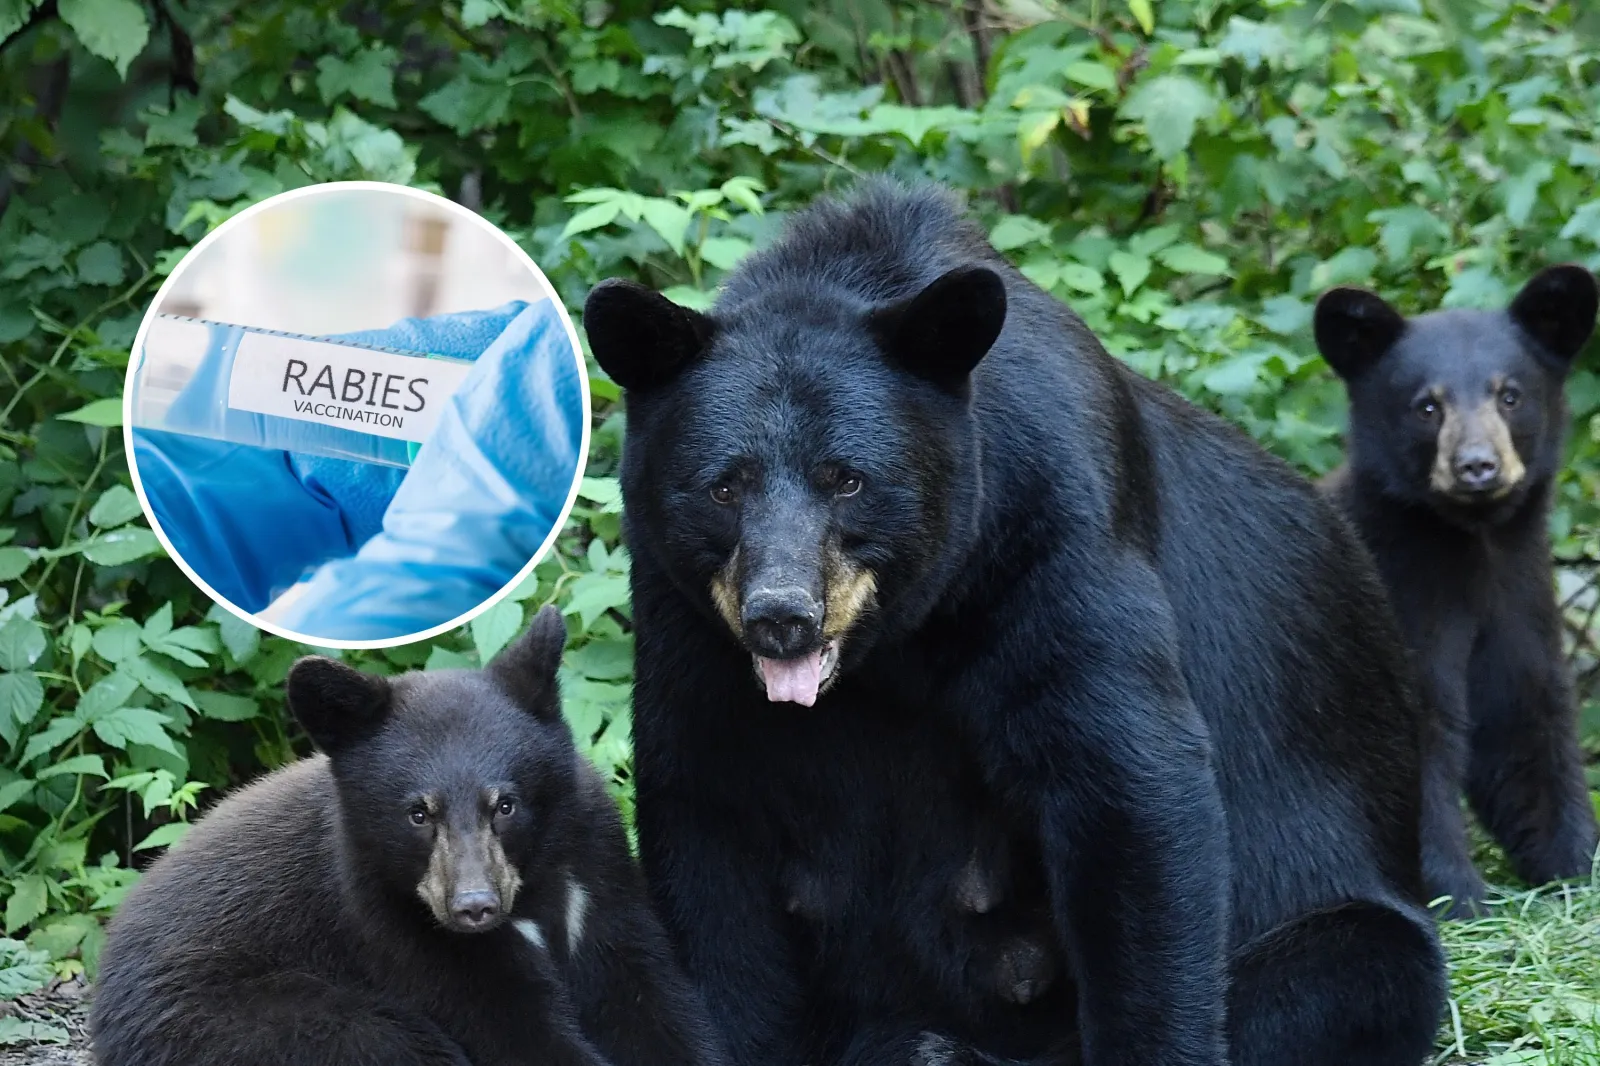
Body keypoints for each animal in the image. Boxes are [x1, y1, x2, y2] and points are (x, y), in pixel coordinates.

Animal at [89, 605, 726, 1066]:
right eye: (418, 814)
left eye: (506, 804)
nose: (473, 906)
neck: (530, 893)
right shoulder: (391, 923)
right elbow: (513, 1031)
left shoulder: (597, 876)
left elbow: (649, 1001)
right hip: (246, 1020)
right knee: (381, 1042)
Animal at [581, 178, 1448, 1066]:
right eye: (724, 486)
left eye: (847, 479)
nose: (782, 617)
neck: (892, 643)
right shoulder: (681, 607)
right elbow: (707, 823)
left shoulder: (1051, 529)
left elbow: (1129, 788)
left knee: (1357, 966)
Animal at [1314, 266, 1600, 914]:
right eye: (1427, 406)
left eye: (1509, 394)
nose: (1477, 466)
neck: (1471, 546)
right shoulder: (1400, 602)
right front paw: (1460, 897)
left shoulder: (1518, 599)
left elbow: (1525, 720)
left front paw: (1576, 867)